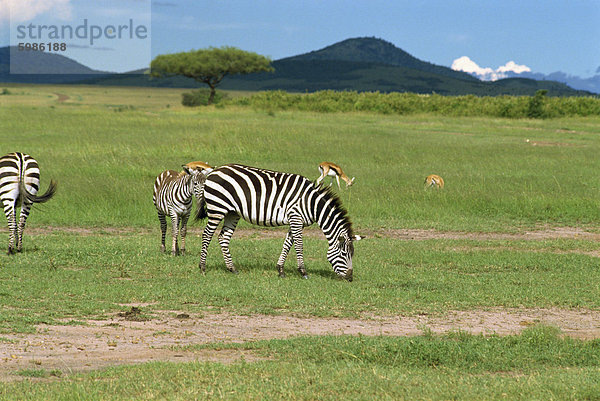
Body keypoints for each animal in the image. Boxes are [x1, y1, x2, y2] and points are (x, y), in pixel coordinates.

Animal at [197, 164, 364, 280]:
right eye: (344, 254)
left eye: (352, 254)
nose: (350, 278)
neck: (312, 203)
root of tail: (214, 171)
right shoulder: (296, 218)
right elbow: (299, 245)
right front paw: (303, 272)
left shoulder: (296, 221)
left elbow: (287, 244)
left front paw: (281, 270)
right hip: (217, 208)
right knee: (207, 235)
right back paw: (203, 268)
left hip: (232, 212)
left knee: (223, 238)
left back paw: (232, 268)